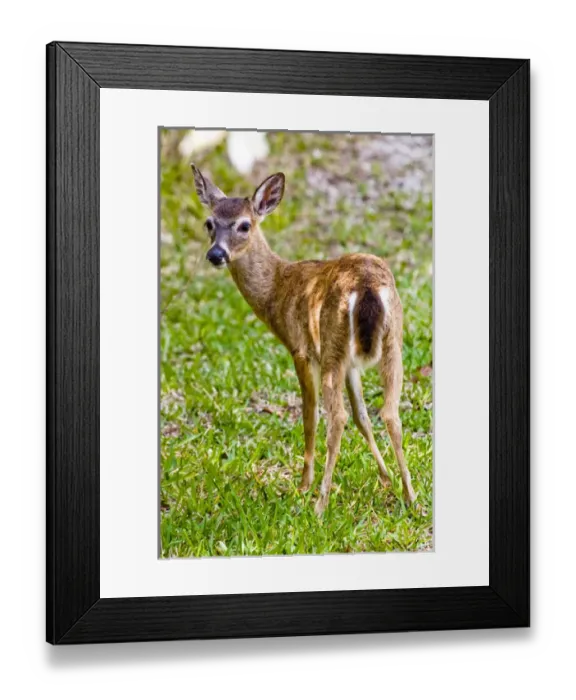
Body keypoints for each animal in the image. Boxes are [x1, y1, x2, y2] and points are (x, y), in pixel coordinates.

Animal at [191, 165, 417, 516]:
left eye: (244, 225)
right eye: (209, 223)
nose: (216, 254)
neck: (277, 291)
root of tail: (366, 286)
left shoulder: (301, 349)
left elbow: (310, 416)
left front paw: (303, 485)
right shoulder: (351, 363)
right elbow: (363, 417)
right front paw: (386, 478)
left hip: (334, 343)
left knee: (336, 417)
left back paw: (320, 504)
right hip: (392, 341)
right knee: (389, 413)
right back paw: (411, 496)